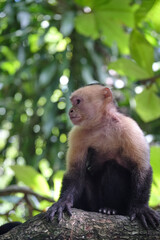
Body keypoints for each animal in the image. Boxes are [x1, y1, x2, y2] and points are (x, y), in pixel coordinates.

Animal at [45, 84, 159, 229]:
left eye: (78, 101)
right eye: (73, 102)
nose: (70, 111)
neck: (102, 125)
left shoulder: (130, 127)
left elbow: (141, 167)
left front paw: (140, 208)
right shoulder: (77, 134)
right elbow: (75, 172)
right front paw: (63, 202)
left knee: (113, 166)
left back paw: (110, 208)